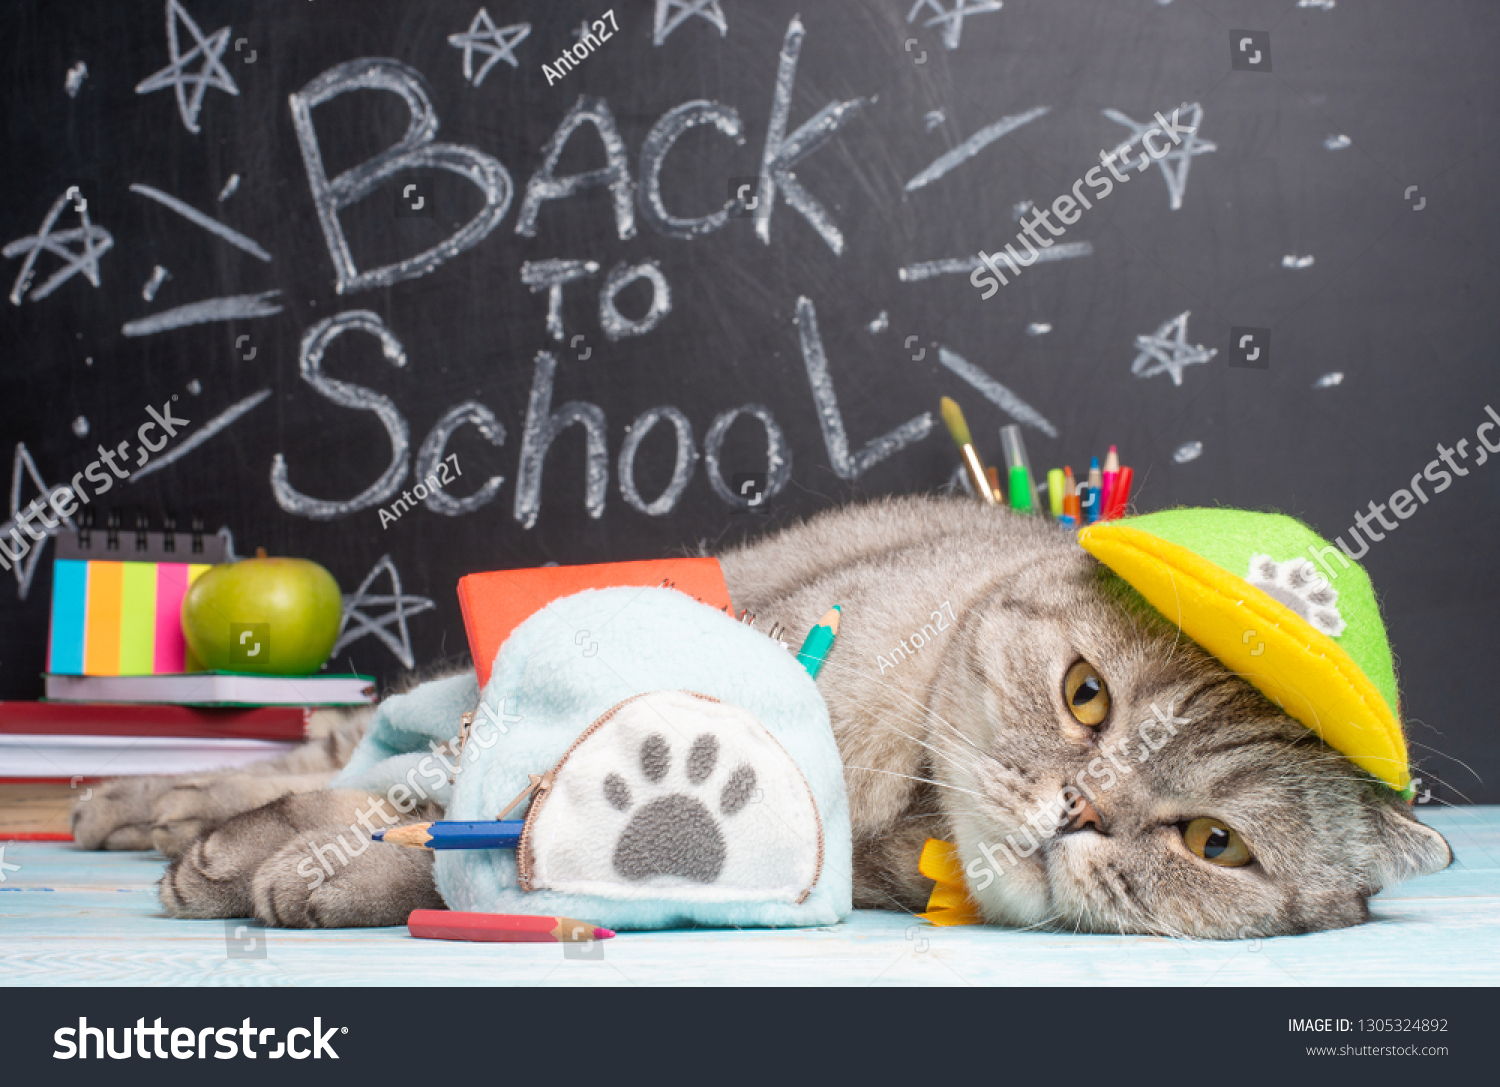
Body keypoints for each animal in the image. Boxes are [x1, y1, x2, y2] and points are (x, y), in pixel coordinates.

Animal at [73, 497, 1452, 935]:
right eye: (1085, 695)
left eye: (1214, 844)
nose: (1078, 812)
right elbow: (435, 799)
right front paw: (289, 849)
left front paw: (319, 870)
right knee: (343, 748)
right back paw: (146, 800)